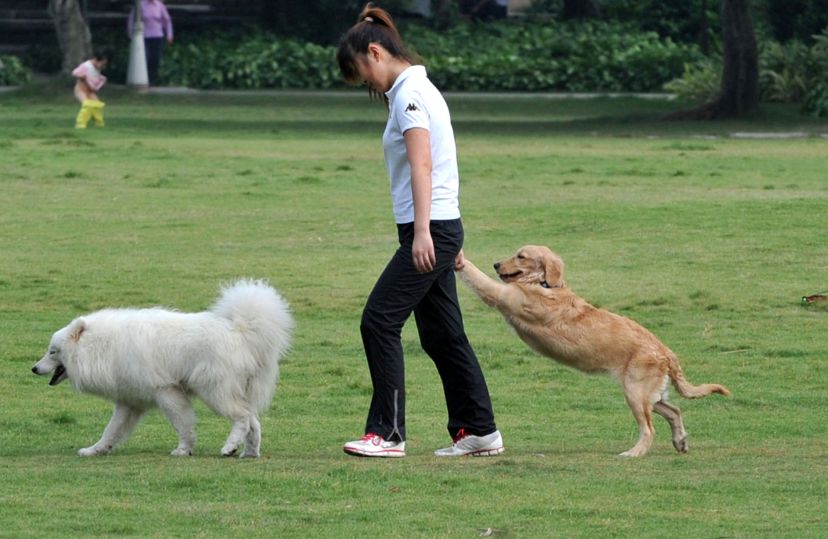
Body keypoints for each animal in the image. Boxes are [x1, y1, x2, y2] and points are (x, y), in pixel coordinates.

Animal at [31, 278, 292, 460]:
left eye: (52, 351)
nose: (34, 368)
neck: (101, 346)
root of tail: (241, 330)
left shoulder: (166, 392)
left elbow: (183, 424)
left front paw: (183, 449)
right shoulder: (129, 403)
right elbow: (111, 431)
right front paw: (95, 450)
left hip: (214, 390)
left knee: (242, 418)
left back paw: (229, 446)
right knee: (253, 422)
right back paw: (249, 452)